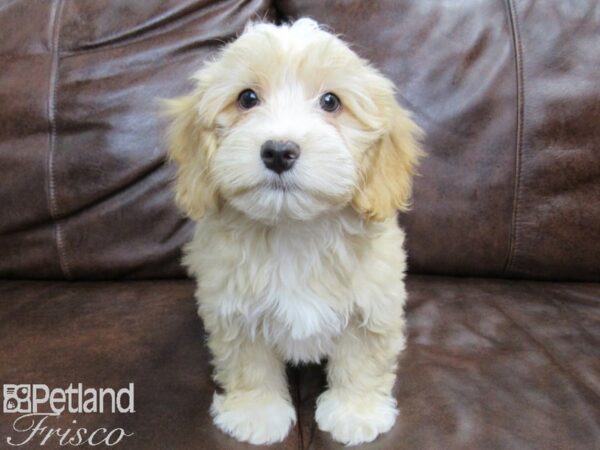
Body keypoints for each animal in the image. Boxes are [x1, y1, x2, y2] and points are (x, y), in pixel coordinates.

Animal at [165, 18, 422, 446]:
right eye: (247, 98)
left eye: (331, 102)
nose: (279, 151)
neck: (294, 229)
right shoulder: (234, 309)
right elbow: (248, 363)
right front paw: (256, 413)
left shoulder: (371, 302)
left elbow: (362, 359)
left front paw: (356, 412)